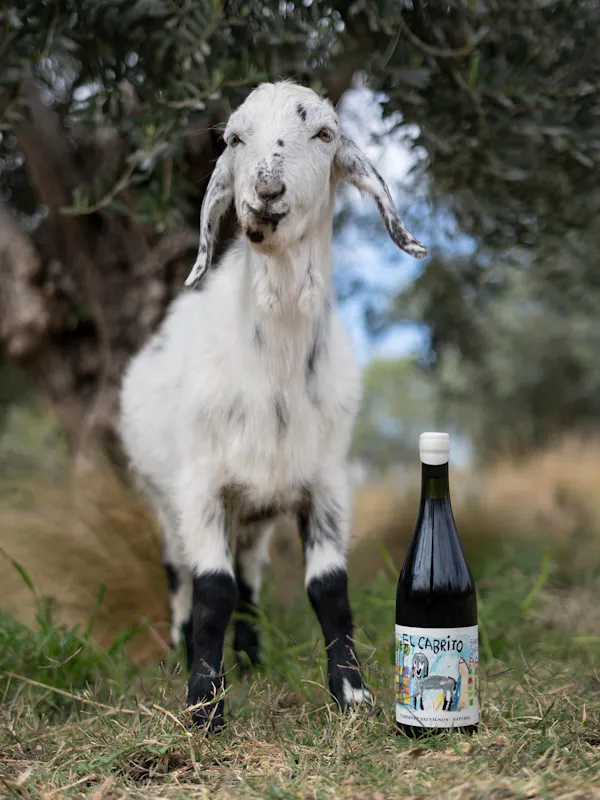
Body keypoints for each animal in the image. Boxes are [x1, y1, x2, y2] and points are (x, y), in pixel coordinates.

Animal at [119, 81, 428, 729]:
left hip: (256, 511)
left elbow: (328, 587)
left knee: (250, 579)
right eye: (236, 138)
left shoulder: (326, 480)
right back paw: (184, 655)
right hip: (164, 500)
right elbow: (210, 589)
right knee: (182, 576)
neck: (275, 374)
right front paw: (204, 703)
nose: (265, 192)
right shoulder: (201, 484)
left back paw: (252, 657)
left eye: (325, 134)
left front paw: (352, 694)